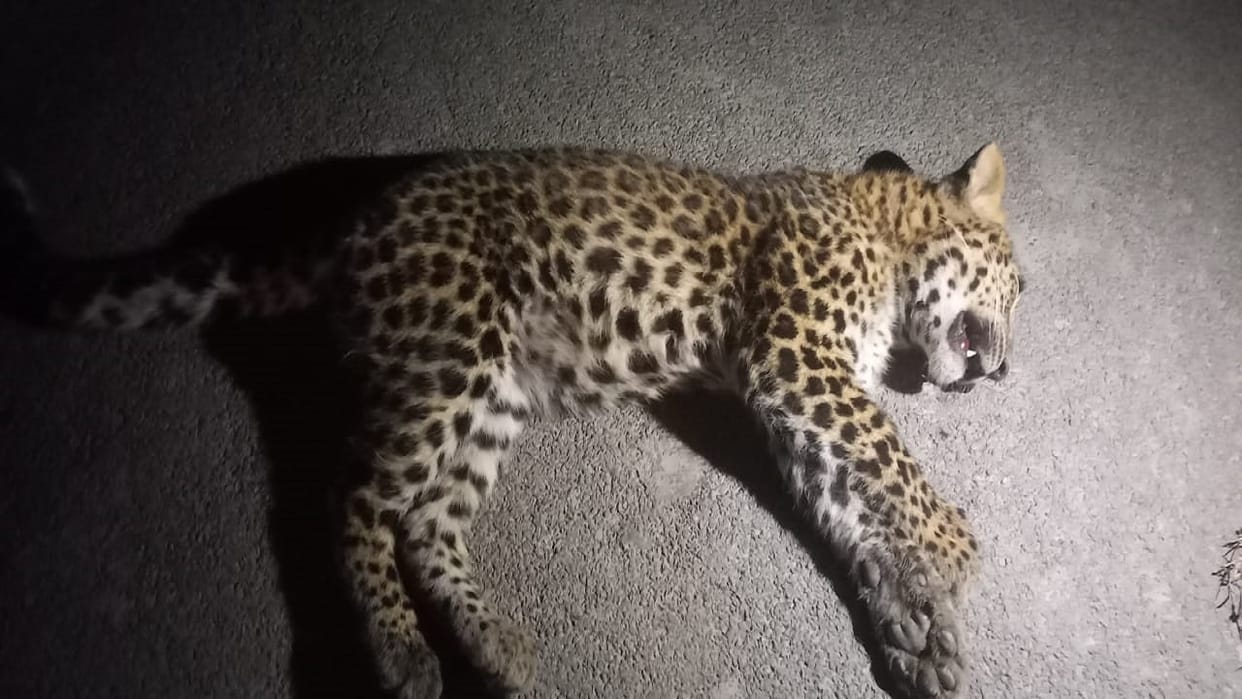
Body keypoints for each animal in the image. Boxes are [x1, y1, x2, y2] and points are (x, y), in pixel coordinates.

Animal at [0, 142, 1022, 699]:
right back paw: (403, 653)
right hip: (451, 355)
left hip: (493, 392)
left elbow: (849, 506)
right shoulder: (798, 361)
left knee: (426, 520)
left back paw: (492, 643)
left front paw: (913, 624)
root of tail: (356, 222)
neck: (885, 231)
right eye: (1017, 288)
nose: (1005, 370)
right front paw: (955, 549)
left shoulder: (797, 396)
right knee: (347, 496)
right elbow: (888, 457)